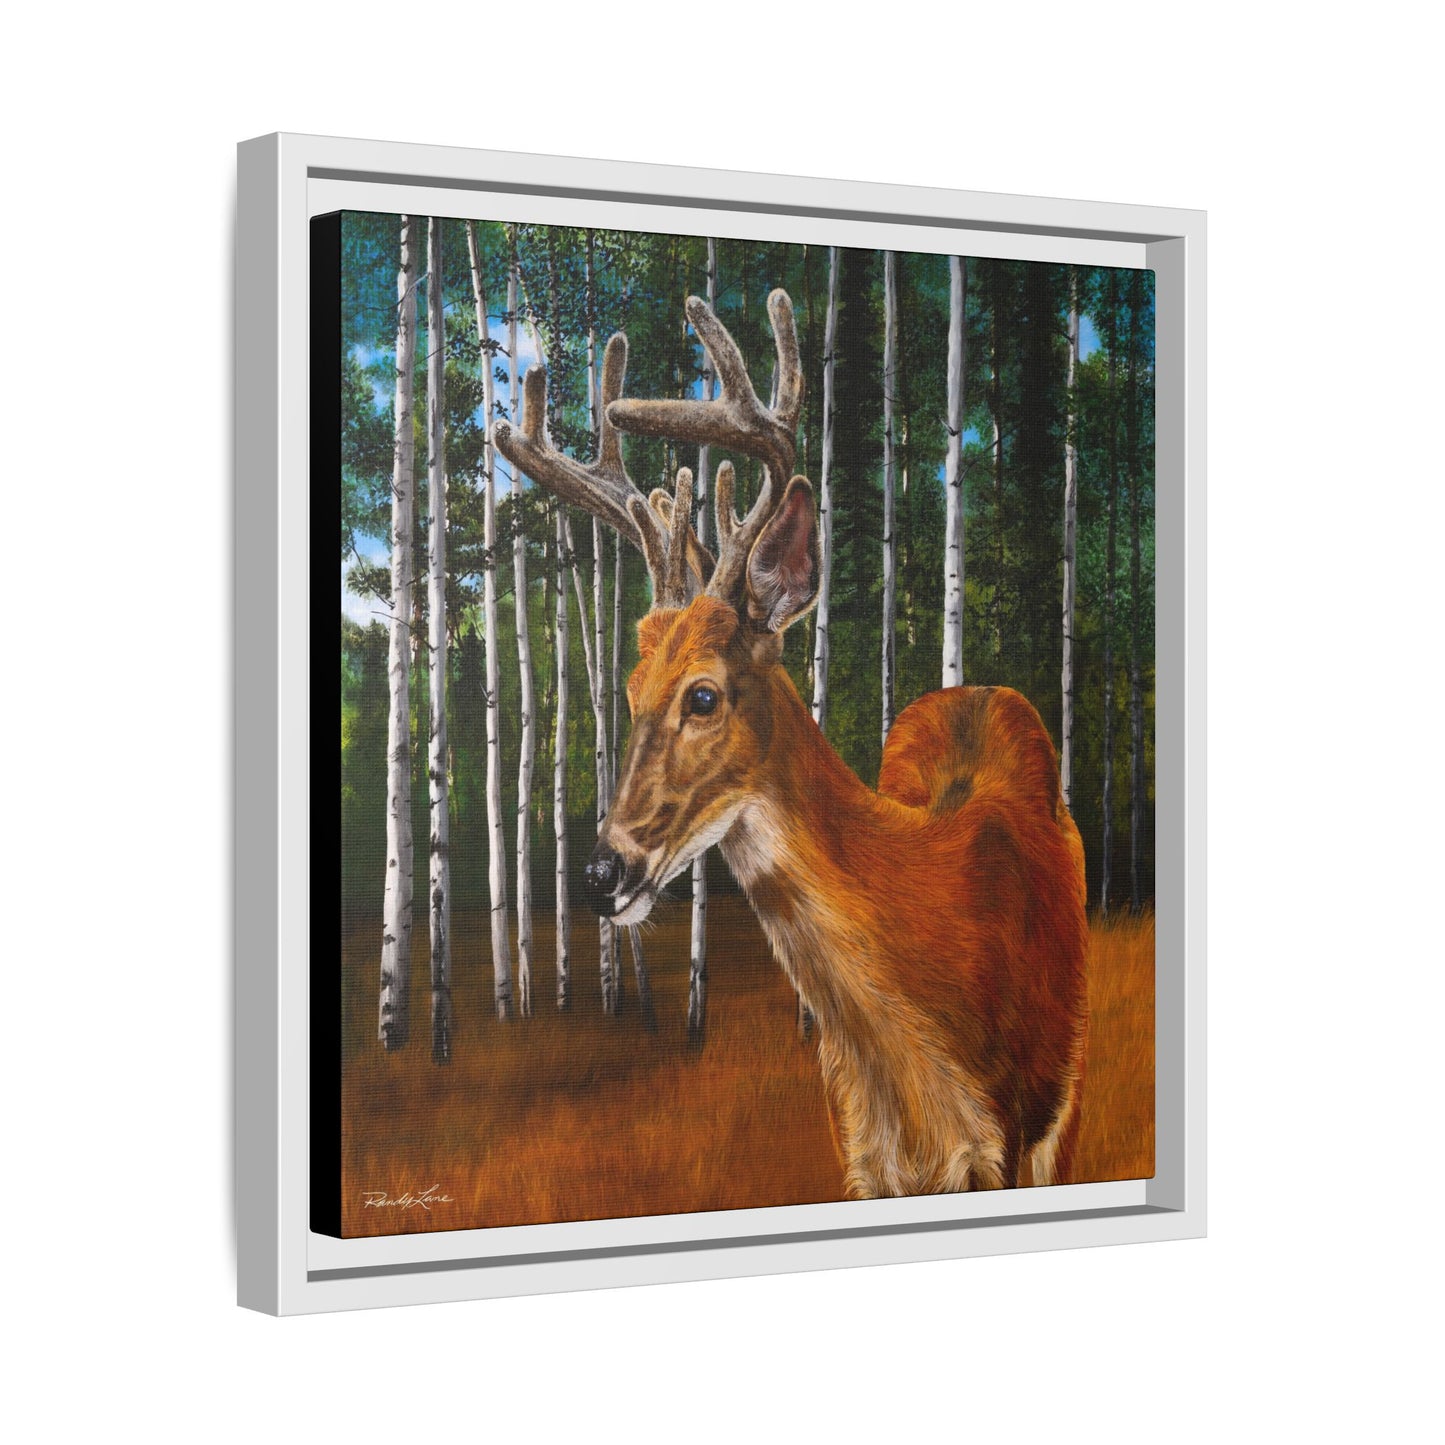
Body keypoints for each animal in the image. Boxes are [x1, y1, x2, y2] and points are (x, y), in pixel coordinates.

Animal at [492, 287, 1089, 1197]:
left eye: (703, 694)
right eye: (629, 691)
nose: (601, 872)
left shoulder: (1007, 1141)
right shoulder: (858, 1150)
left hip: (1069, 1083)